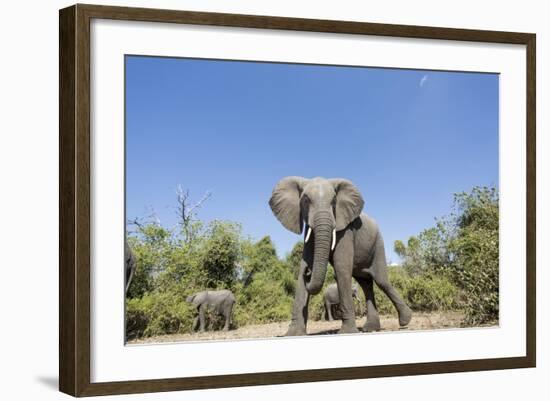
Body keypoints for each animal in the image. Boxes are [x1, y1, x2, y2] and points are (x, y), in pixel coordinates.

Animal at [270, 176, 416, 334]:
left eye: (334, 201)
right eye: (305, 200)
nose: (308, 272)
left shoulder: (346, 229)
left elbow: (341, 267)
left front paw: (347, 332)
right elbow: (303, 265)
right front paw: (293, 334)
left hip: (378, 243)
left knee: (381, 281)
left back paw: (405, 321)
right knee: (366, 283)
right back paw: (370, 328)